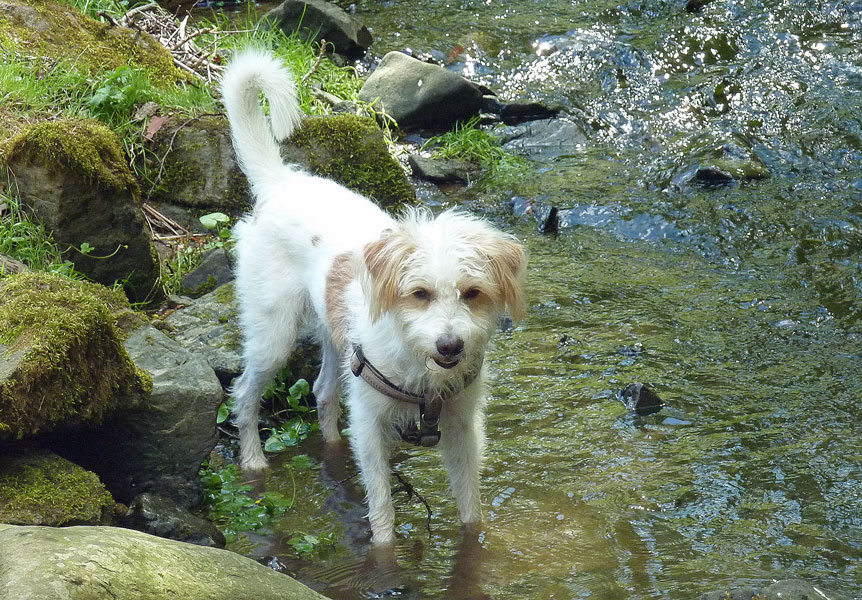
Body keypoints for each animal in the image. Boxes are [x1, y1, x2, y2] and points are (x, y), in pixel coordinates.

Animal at [221, 49, 527, 545]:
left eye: (473, 293)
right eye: (419, 294)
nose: (450, 346)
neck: (421, 373)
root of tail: (282, 183)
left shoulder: (462, 426)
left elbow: (470, 507)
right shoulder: (369, 424)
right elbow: (382, 509)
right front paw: (384, 551)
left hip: (334, 336)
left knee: (323, 392)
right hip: (274, 334)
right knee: (246, 392)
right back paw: (252, 460)